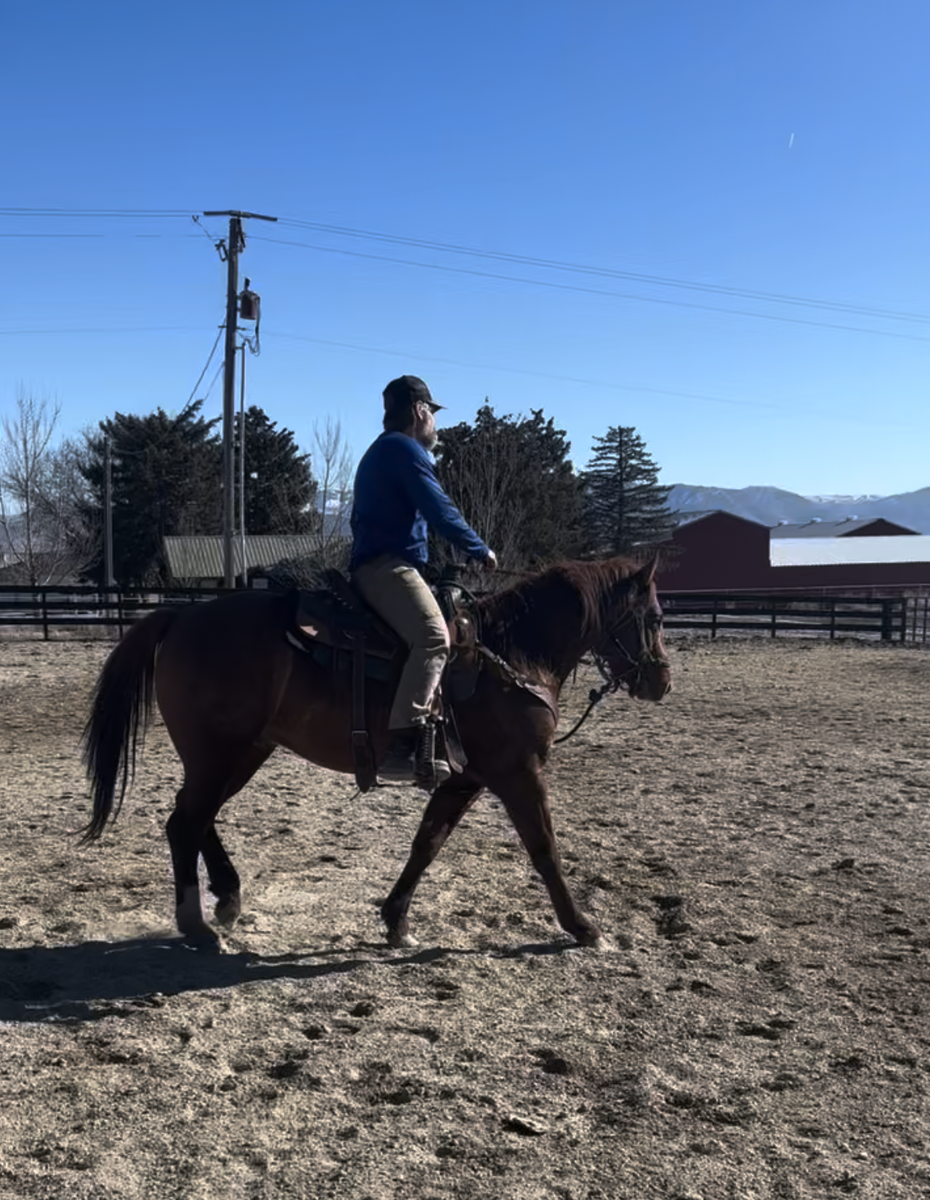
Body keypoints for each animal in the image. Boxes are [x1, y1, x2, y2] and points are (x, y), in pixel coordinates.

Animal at [81, 557, 671, 950]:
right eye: (657, 617)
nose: (661, 681)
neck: (512, 656)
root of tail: (181, 617)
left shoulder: (465, 778)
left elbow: (427, 843)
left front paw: (396, 920)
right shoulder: (518, 773)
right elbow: (544, 848)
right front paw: (582, 927)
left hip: (242, 752)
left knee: (196, 818)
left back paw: (226, 899)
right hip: (219, 754)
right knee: (186, 823)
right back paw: (197, 926)